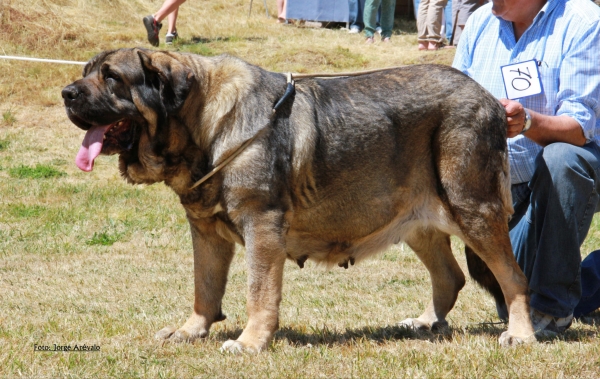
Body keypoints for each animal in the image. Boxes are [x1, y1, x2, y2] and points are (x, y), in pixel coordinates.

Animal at [62, 47, 536, 354]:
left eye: (111, 77)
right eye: (86, 71)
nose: (67, 93)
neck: (206, 125)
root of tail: (490, 98)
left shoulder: (262, 226)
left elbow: (258, 291)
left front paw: (250, 342)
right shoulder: (205, 232)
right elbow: (204, 287)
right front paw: (192, 330)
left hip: (473, 208)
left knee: (512, 276)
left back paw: (521, 334)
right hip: (417, 219)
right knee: (449, 276)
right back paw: (424, 322)